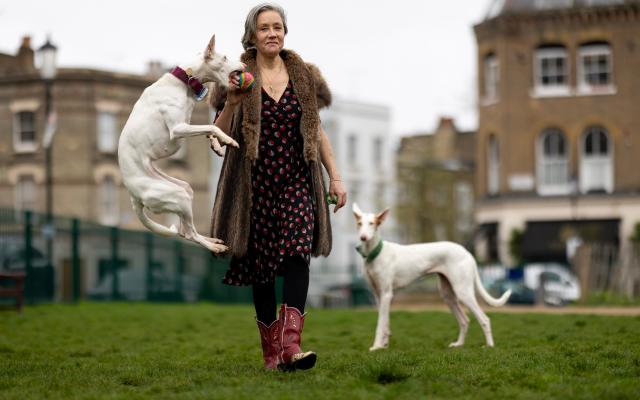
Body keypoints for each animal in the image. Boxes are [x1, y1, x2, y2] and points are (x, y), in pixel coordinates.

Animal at [118, 35, 242, 253]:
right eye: (225, 57)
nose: (244, 66)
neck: (184, 82)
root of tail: (134, 198)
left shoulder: (187, 125)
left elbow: (209, 130)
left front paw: (218, 146)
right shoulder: (178, 129)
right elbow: (212, 126)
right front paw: (228, 140)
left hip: (183, 189)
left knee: (186, 232)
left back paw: (212, 241)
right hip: (177, 196)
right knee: (189, 234)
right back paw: (214, 247)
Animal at [352, 205, 512, 348]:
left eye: (372, 223)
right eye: (359, 223)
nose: (363, 237)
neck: (376, 252)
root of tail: (467, 252)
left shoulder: (386, 294)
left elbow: (380, 324)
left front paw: (376, 347)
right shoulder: (378, 295)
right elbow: (385, 323)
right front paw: (384, 345)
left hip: (463, 292)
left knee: (484, 319)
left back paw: (489, 346)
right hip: (447, 295)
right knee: (465, 321)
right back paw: (459, 344)